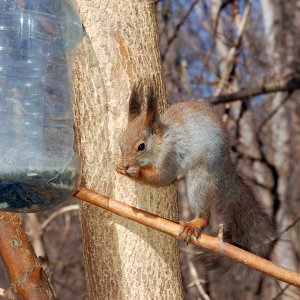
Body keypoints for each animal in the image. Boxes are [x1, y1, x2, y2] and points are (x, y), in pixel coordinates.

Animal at [115, 81, 276, 274]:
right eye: (120, 143)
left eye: (141, 146)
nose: (125, 164)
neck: (164, 140)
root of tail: (224, 163)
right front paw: (119, 167)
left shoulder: (171, 157)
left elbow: (162, 177)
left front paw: (135, 172)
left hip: (199, 177)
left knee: (205, 213)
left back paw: (196, 223)